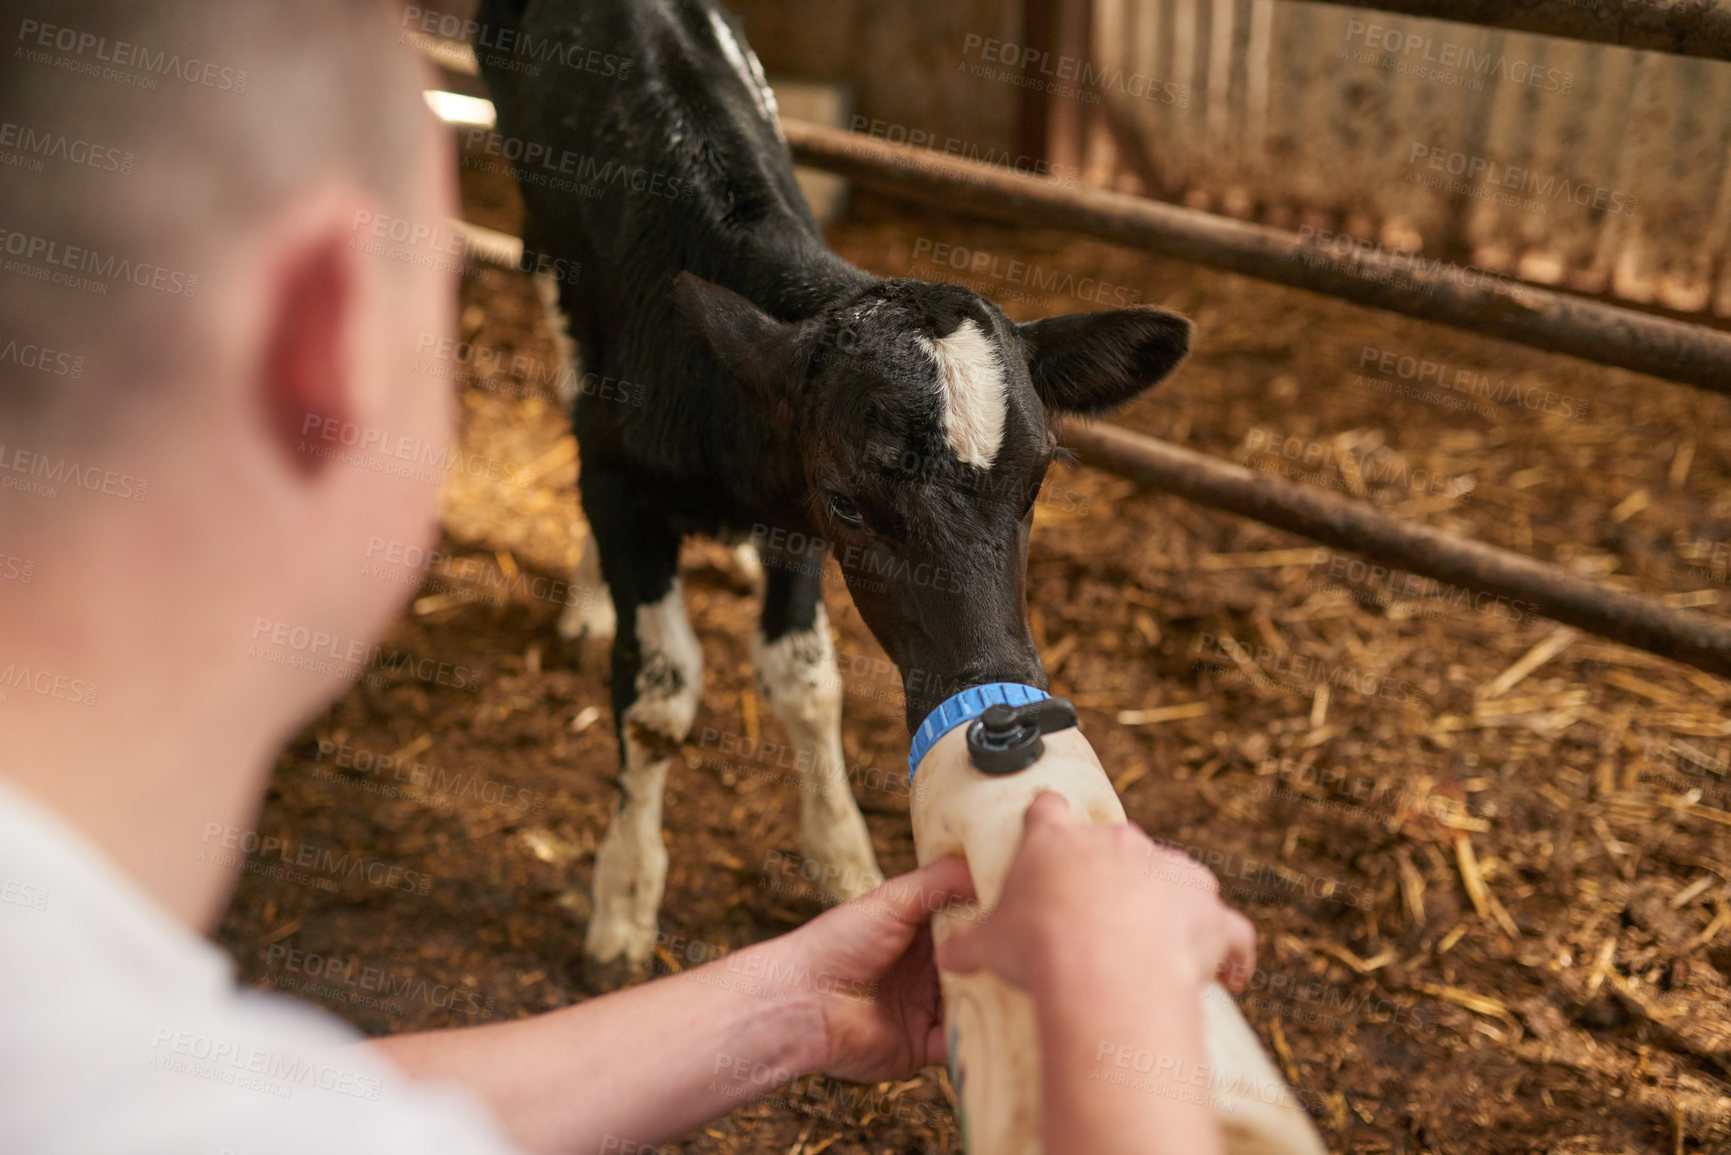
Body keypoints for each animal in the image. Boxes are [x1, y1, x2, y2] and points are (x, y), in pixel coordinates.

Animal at [474, 2, 1197, 997]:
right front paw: (622, 902)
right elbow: (656, 696)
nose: (1000, 700)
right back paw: (586, 598)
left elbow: (807, 682)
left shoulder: (791, 520)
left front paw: (845, 860)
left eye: (1038, 481)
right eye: (849, 500)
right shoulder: (626, 479)